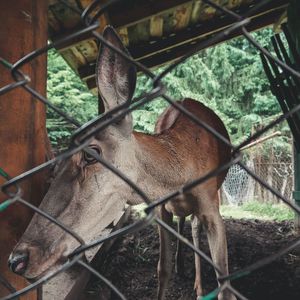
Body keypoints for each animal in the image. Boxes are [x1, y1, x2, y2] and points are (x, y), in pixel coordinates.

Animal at [8, 27, 236, 298]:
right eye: (54, 164)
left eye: (90, 154)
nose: (17, 259)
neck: (180, 176)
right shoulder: (160, 208)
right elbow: (162, 268)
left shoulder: (211, 205)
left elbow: (224, 280)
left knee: (193, 228)